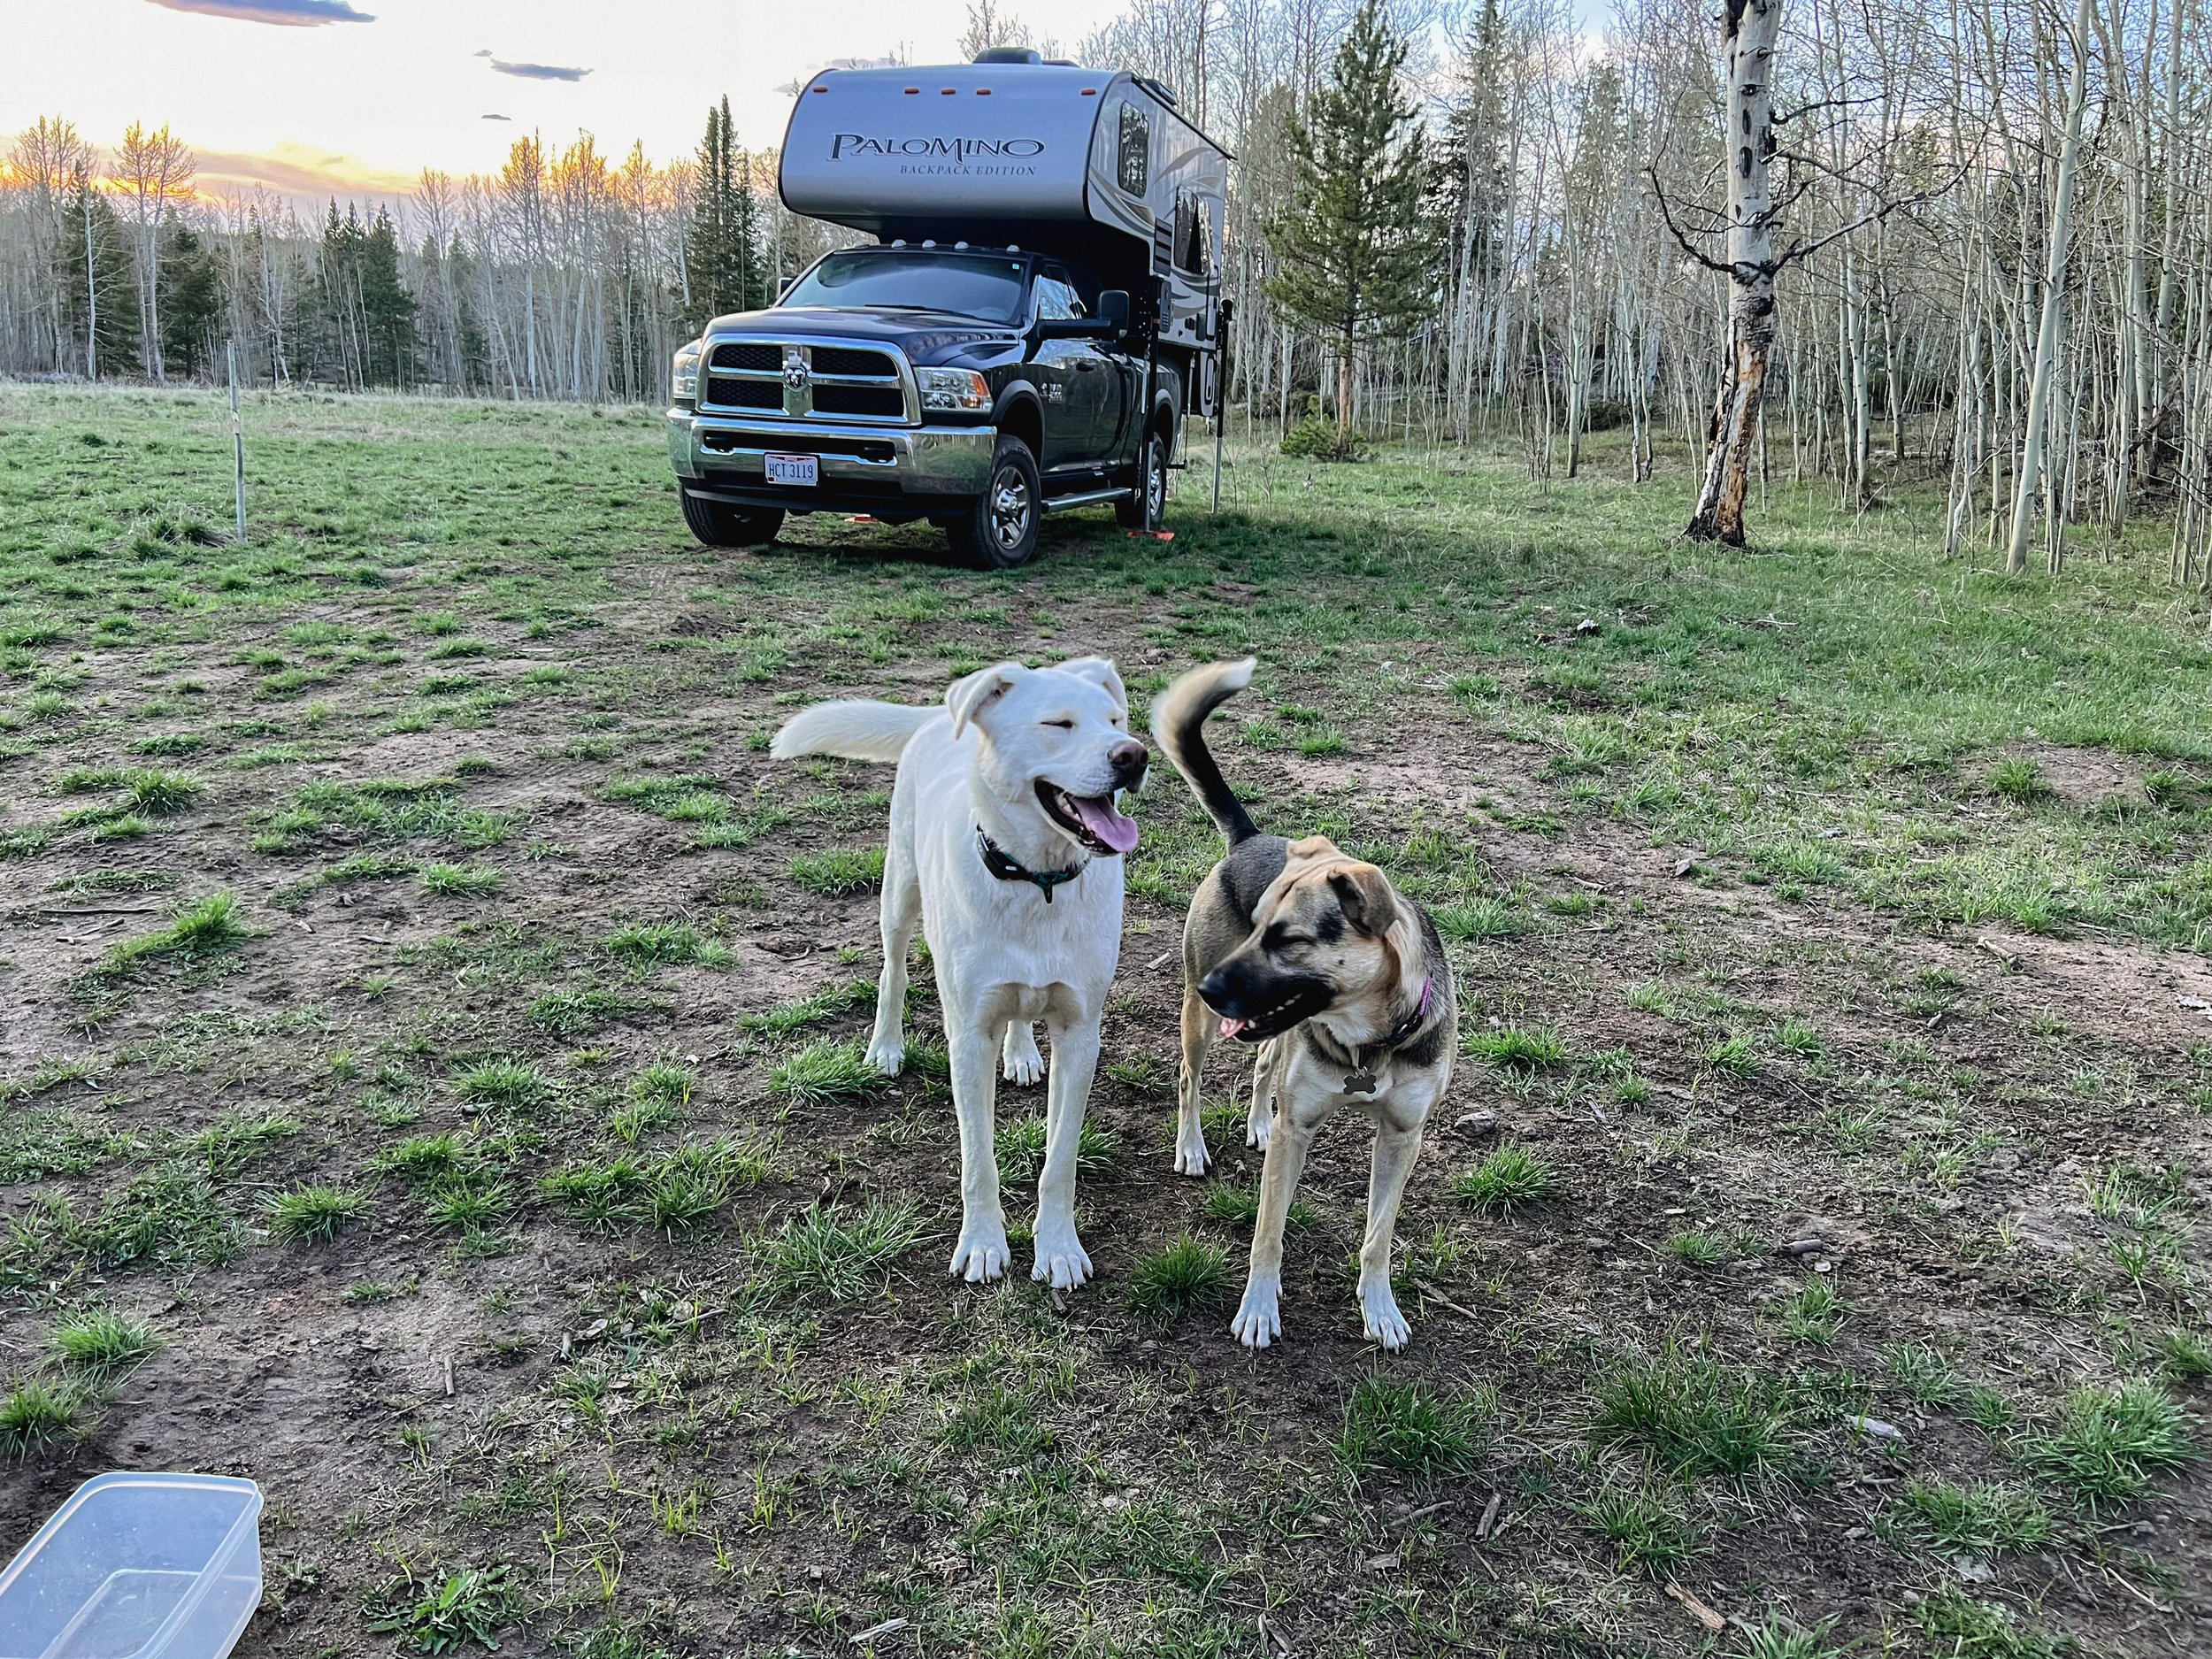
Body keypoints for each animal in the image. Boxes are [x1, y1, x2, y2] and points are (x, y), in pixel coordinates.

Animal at [774, 655, 1150, 1292]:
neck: (1036, 880)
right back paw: (886, 1046)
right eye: (1058, 724)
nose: (1135, 756)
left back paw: (1021, 1053)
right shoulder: (969, 1037)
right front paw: (982, 1244)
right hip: (899, 892)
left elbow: (1060, 1160)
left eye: (1115, 719)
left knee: (1022, 1011)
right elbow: (979, 1159)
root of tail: (936, 716)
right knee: (893, 974)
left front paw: (1058, 1247)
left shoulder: (1081, 1034)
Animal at [1159, 659, 1451, 1354]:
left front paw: (1380, 1308)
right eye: (1255, 925)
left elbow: (1378, 1237)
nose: (1211, 987)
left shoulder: (1403, 1136)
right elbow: (1268, 1233)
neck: (1370, 1039)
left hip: (1267, 1024)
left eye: (1287, 939)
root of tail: (1249, 837)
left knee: (1265, 1063)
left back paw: (1258, 1120)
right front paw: (1259, 1309)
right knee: (1189, 1078)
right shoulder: (1301, 1130)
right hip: (1201, 1025)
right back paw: (1191, 1146)